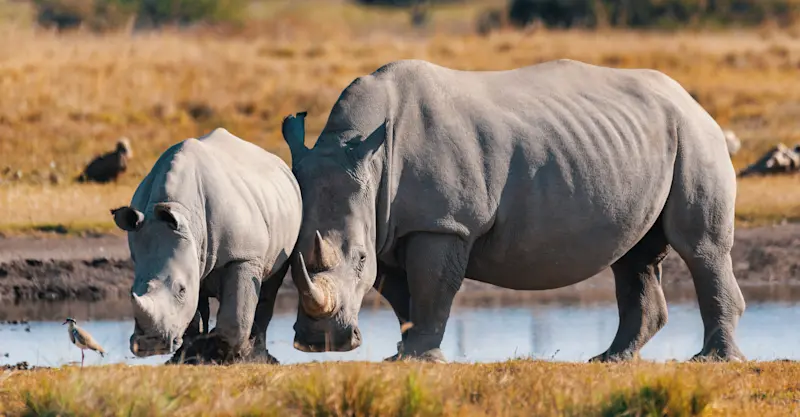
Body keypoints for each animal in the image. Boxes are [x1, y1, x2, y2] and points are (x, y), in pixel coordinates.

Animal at [111, 128, 302, 364]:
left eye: (181, 290)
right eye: (131, 291)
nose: (149, 345)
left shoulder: (244, 255)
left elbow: (236, 313)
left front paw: (230, 356)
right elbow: (192, 310)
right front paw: (189, 357)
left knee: (270, 284)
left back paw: (258, 355)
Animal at [281, 59, 746, 363]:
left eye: (359, 258)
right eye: (291, 261)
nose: (319, 343)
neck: (364, 153)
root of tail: (688, 97)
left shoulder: (444, 223)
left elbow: (430, 288)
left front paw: (418, 359)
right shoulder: (393, 226)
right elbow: (402, 295)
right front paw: (403, 355)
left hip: (695, 134)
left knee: (700, 249)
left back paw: (712, 361)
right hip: (644, 142)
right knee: (633, 257)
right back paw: (611, 359)